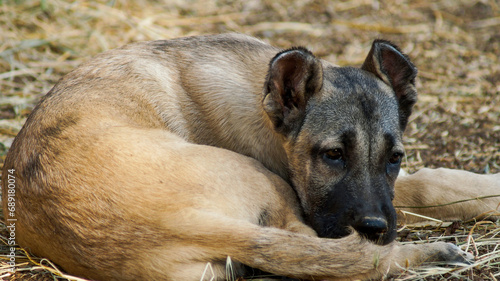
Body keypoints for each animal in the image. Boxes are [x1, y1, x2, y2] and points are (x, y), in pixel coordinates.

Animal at [2, 34, 500, 278]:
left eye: (393, 156)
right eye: (333, 155)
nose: (376, 228)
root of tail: (175, 220)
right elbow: (426, 186)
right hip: (267, 184)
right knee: (332, 256)